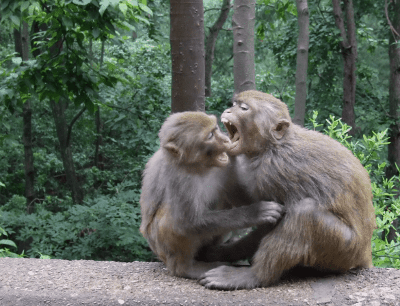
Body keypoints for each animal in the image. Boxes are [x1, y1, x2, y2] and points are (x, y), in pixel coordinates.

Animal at [139, 111, 282, 278]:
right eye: (210, 136)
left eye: (216, 129)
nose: (226, 139)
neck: (200, 166)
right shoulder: (179, 177)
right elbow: (187, 223)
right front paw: (255, 212)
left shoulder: (229, 161)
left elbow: (238, 197)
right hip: (161, 247)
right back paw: (185, 268)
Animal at [200, 90, 378, 290]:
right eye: (234, 104)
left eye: (244, 108)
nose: (228, 110)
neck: (271, 147)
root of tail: (365, 253)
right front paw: (220, 252)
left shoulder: (272, 174)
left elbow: (274, 221)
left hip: (345, 250)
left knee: (306, 212)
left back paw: (255, 276)